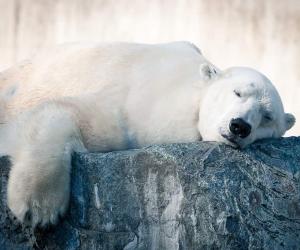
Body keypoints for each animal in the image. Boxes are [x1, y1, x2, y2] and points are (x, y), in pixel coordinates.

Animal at [0, 41, 294, 227]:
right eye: (237, 92)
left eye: (267, 116)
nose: (239, 126)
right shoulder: (133, 110)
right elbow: (69, 113)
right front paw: (38, 208)